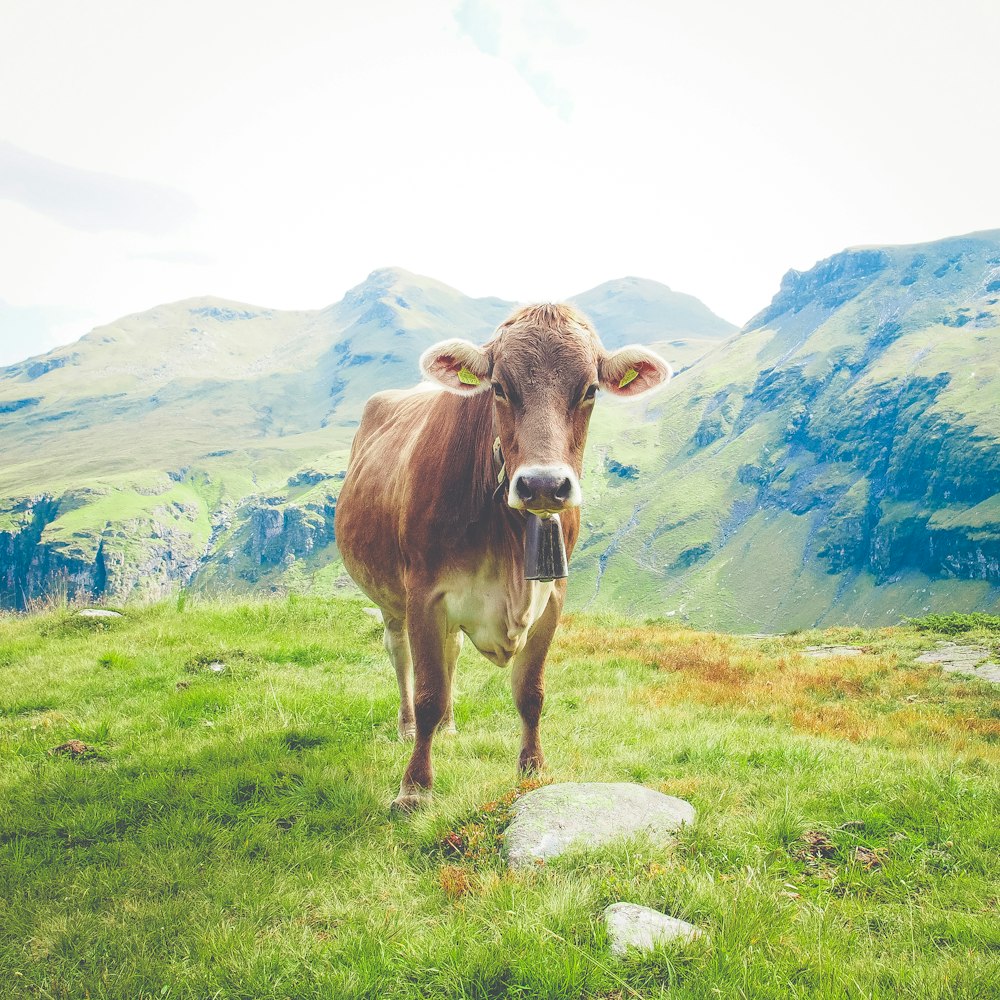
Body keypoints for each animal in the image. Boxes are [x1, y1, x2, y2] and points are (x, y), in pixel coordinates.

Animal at [336, 304, 672, 812]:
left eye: (590, 390)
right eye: (499, 387)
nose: (543, 485)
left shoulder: (553, 595)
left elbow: (531, 692)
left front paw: (533, 768)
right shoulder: (424, 594)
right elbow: (428, 693)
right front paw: (414, 788)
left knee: (451, 652)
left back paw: (450, 726)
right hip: (391, 598)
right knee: (400, 656)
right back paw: (409, 727)